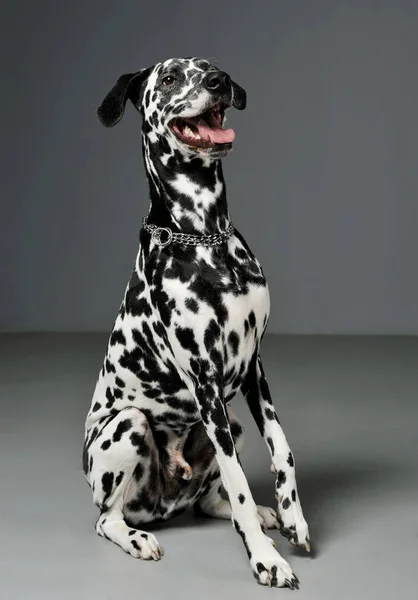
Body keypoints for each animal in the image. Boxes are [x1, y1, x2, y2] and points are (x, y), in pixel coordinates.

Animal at [82, 57, 310, 592]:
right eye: (168, 78)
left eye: (211, 68)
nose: (218, 83)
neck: (205, 237)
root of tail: (163, 505)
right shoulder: (205, 381)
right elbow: (238, 479)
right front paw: (265, 559)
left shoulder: (253, 367)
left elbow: (282, 448)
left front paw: (293, 516)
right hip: (127, 425)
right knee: (106, 518)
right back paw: (136, 537)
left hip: (234, 424)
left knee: (209, 501)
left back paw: (263, 515)